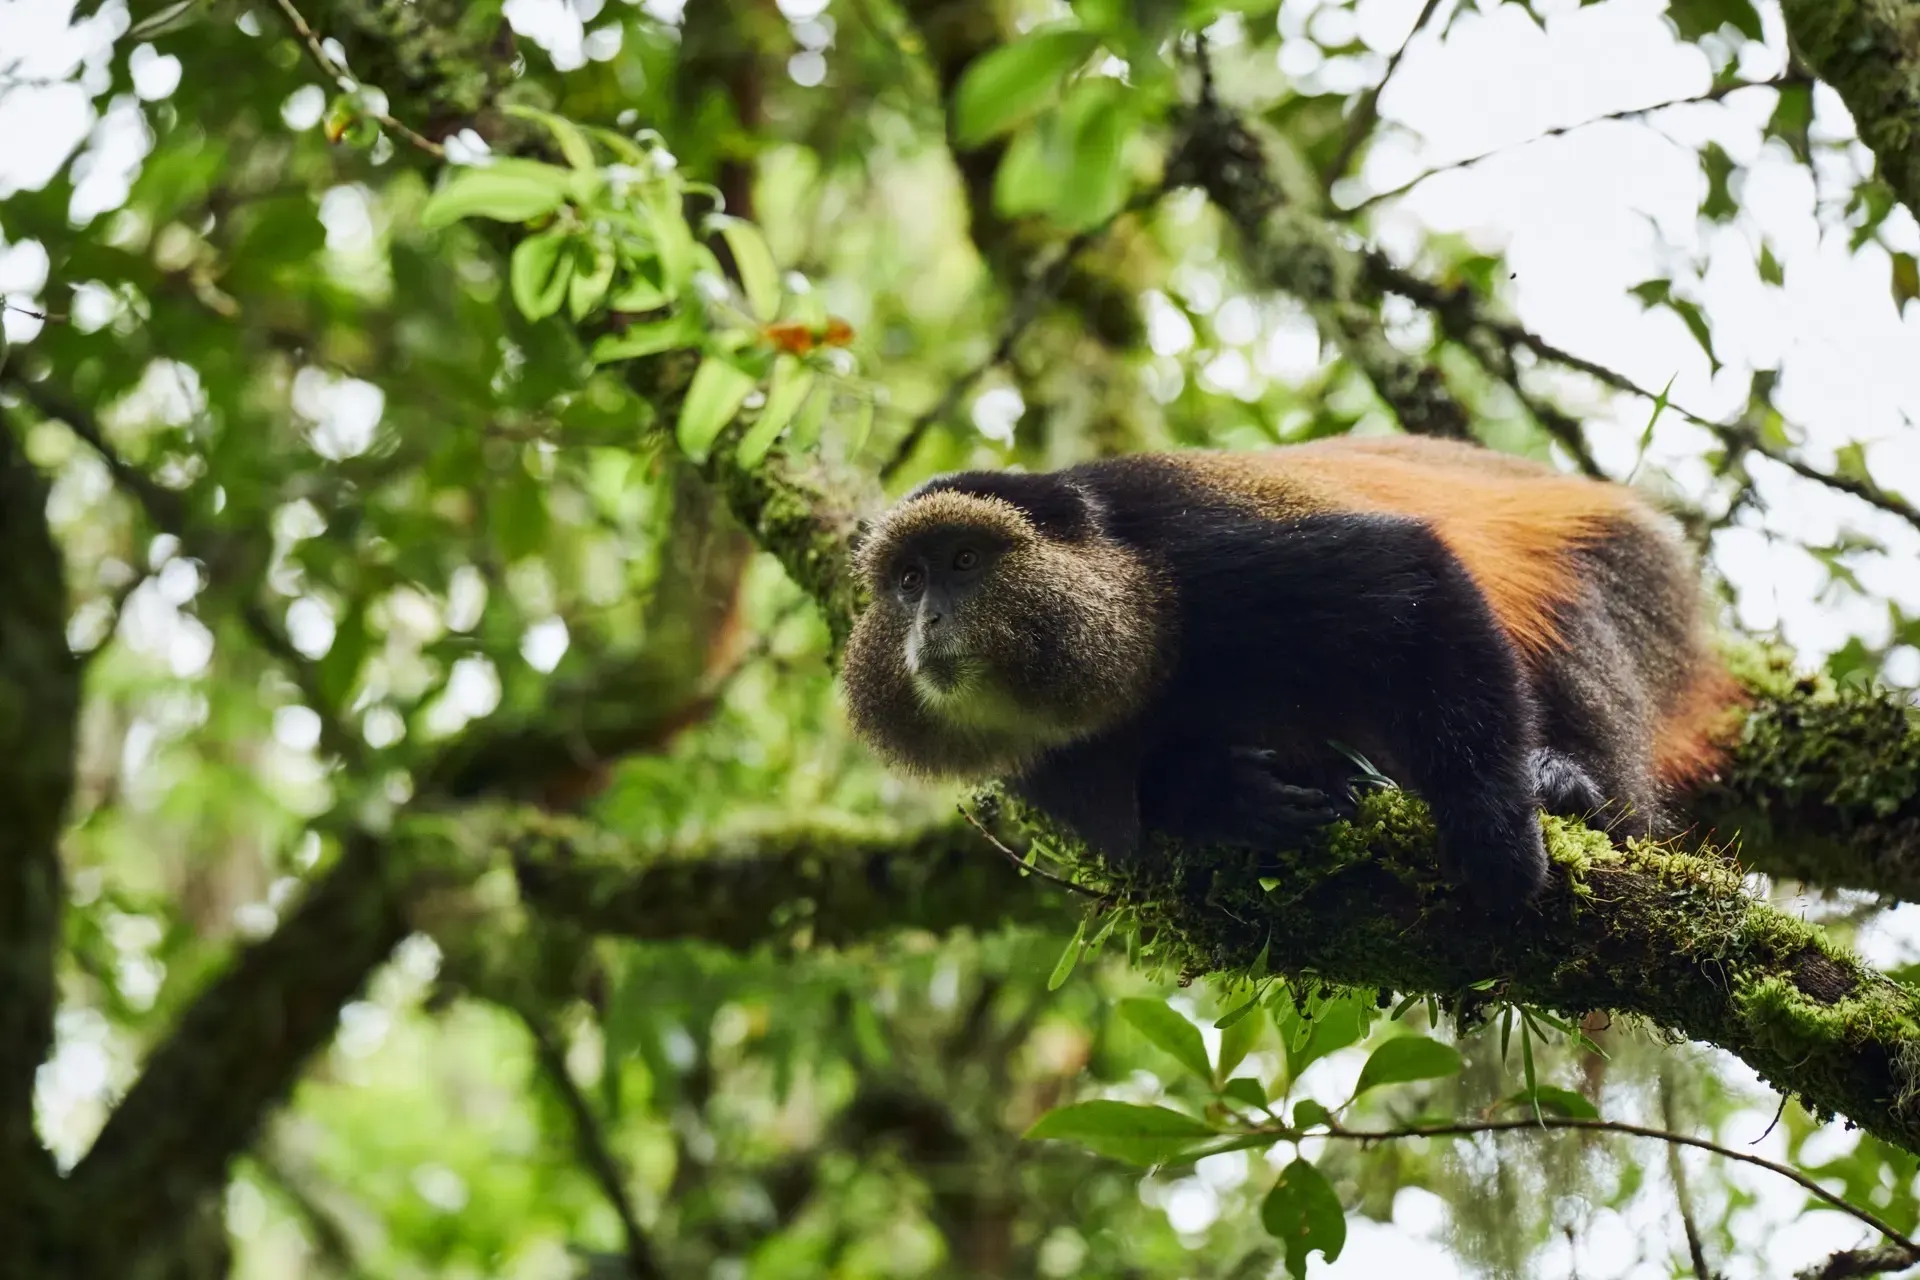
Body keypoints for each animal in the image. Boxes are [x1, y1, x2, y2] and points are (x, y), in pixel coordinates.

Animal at [839, 434, 1744, 909]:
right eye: (908, 581)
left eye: (963, 562)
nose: (928, 621)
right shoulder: (1048, 764)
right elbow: (1138, 831)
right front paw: (1223, 797)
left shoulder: (1200, 563)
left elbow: (1409, 576)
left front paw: (1495, 836)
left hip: (1625, 578)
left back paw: (1571, 786)